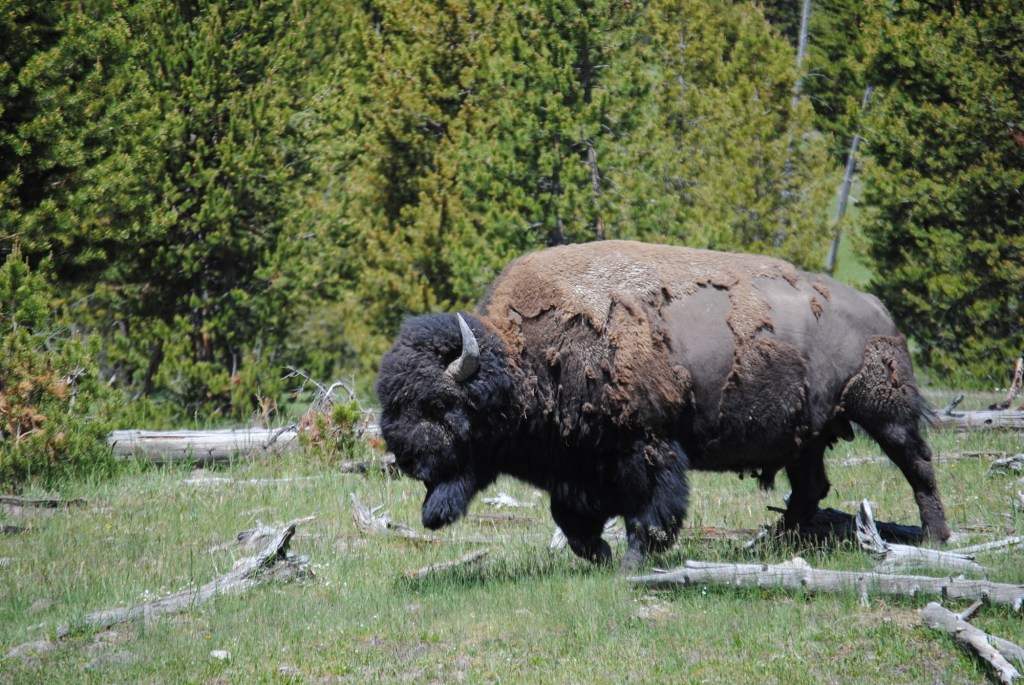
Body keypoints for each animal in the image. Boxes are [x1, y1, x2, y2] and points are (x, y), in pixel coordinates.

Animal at [376, 240, 951, 567]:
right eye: (393, 403)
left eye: (438, 405)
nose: (407, 459)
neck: (527, 362)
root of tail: (877, 309)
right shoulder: (578, 465)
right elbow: (571, 518)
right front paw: (601, 554)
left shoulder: (648, 446)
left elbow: (650, 512)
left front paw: (631, 560)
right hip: (804, 436)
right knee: (811, 487)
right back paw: (775, 543)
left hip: (886, 414)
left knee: (918, 465)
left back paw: (936, 538)